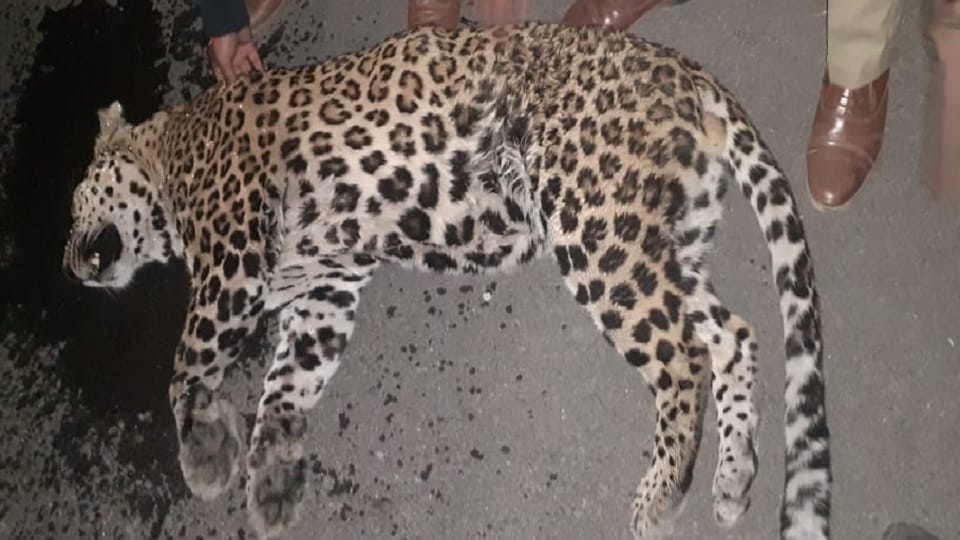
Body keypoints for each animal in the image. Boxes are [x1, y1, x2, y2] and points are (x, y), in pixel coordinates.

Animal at [62, 22, 830, 540]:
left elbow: (184, 364)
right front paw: (274, 483)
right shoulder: (324, 292)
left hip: (595, 227)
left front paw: (205, 460)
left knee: (683, 358)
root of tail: (683, 68)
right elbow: (284, 390)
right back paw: (733, 478)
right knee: (733, 334)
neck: (166, 157)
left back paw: (662, 495)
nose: (69, 266)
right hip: (658, 243)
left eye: (71, 209)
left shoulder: (230, 265)